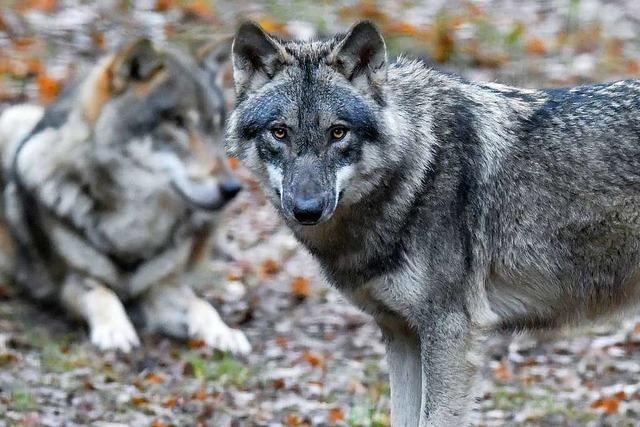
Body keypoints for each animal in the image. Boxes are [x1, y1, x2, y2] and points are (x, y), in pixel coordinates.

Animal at [0, 39, 250, 354]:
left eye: (215, 125)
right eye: (178, 122)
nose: (232, 188)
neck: (134, 225)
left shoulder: (160, 288)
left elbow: (201, 304)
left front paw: (223, 332)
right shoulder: (72, 281)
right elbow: (102, 294)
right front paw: (115, 330)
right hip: (12, 119)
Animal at [229, 19, 640, 424]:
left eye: (338, 132)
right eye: (280, 132)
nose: (307, 209)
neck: (418, 172)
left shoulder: (450, 332)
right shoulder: (400, 332)